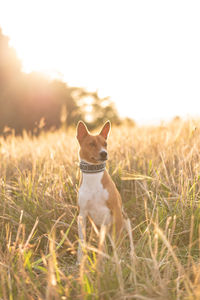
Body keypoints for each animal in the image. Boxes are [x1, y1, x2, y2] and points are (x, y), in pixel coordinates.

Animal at [76, 121, 124, 262]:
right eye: (91, 143)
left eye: (105, 144)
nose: (104, 153)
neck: (93, 176)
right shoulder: (82, 215)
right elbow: (82, 240)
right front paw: (80, 260)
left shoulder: (116, 210)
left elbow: (118, 240)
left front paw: (120, 257)